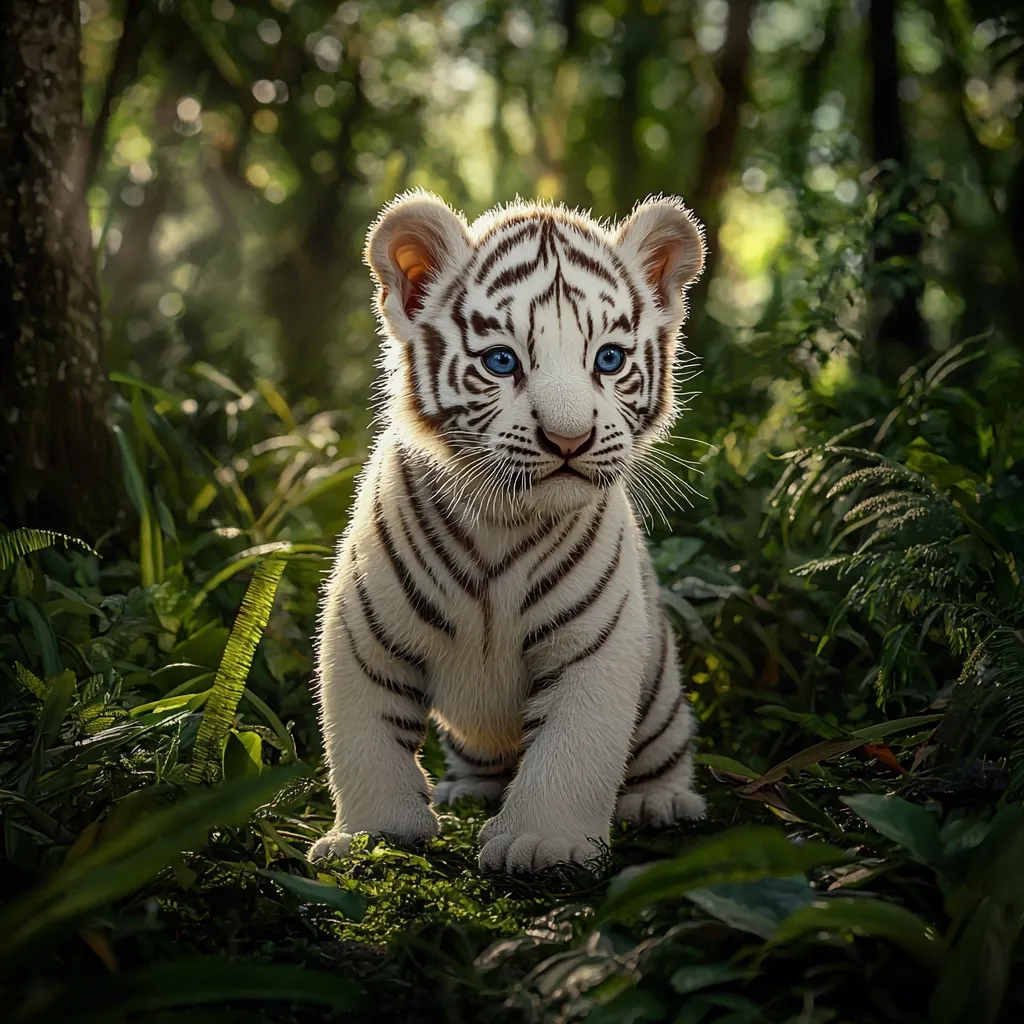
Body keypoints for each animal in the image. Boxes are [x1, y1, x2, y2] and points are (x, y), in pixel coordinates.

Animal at [309, 189, 708, 875]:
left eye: (609, 359)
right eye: (502, 362)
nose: (569, 438)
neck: (503, 518)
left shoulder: (593, 645)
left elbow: (571, 753)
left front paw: (543, 843)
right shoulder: (365, 634)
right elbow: (365, 741)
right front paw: (370, 835)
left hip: (660, 690)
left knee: (663, 749)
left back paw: (663, 802)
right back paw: (465, 791)